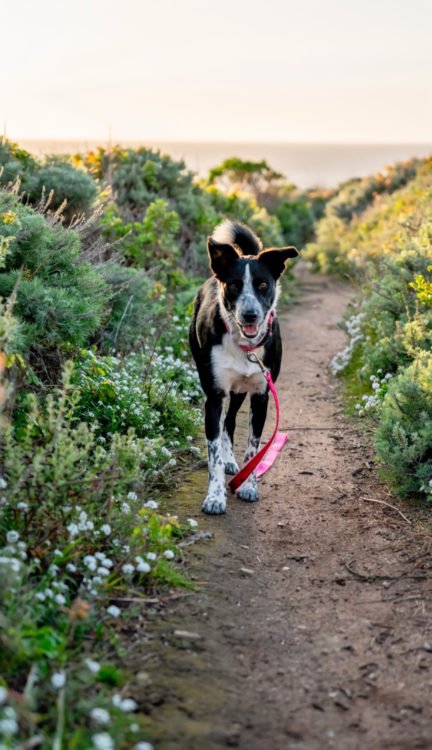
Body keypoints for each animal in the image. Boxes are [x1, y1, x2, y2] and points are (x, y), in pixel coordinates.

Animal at [191, 222, 298, 516]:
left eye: (262, 284)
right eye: (234, 285)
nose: (250, 314)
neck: (244, 347)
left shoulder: (261, 395)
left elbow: (254, 448)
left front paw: (249, 486)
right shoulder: (214, 397)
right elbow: (213, 453)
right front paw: (215, 497)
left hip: (241, 390)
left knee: (230, 422)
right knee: (225, 425)